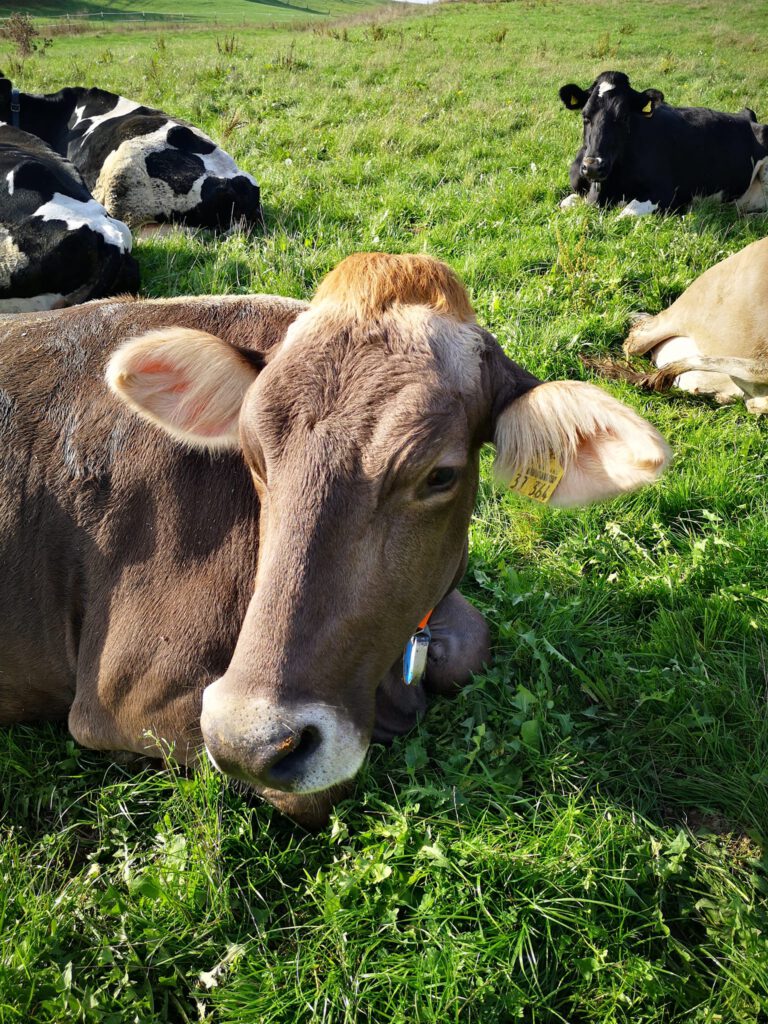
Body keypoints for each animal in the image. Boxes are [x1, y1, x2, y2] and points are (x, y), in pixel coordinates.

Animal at [0, 253, 671, 823]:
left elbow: (472, 643)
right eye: (252, 456)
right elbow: (318, 791)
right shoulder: (123, 698)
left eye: (440, 474)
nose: (249, 740)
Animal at [561, 72, 768, 218]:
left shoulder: (663, 193)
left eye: (624, 117)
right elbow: (564, 203)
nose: (593, 167)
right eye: (585, 116)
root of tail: (747, 116)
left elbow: (625, 214)